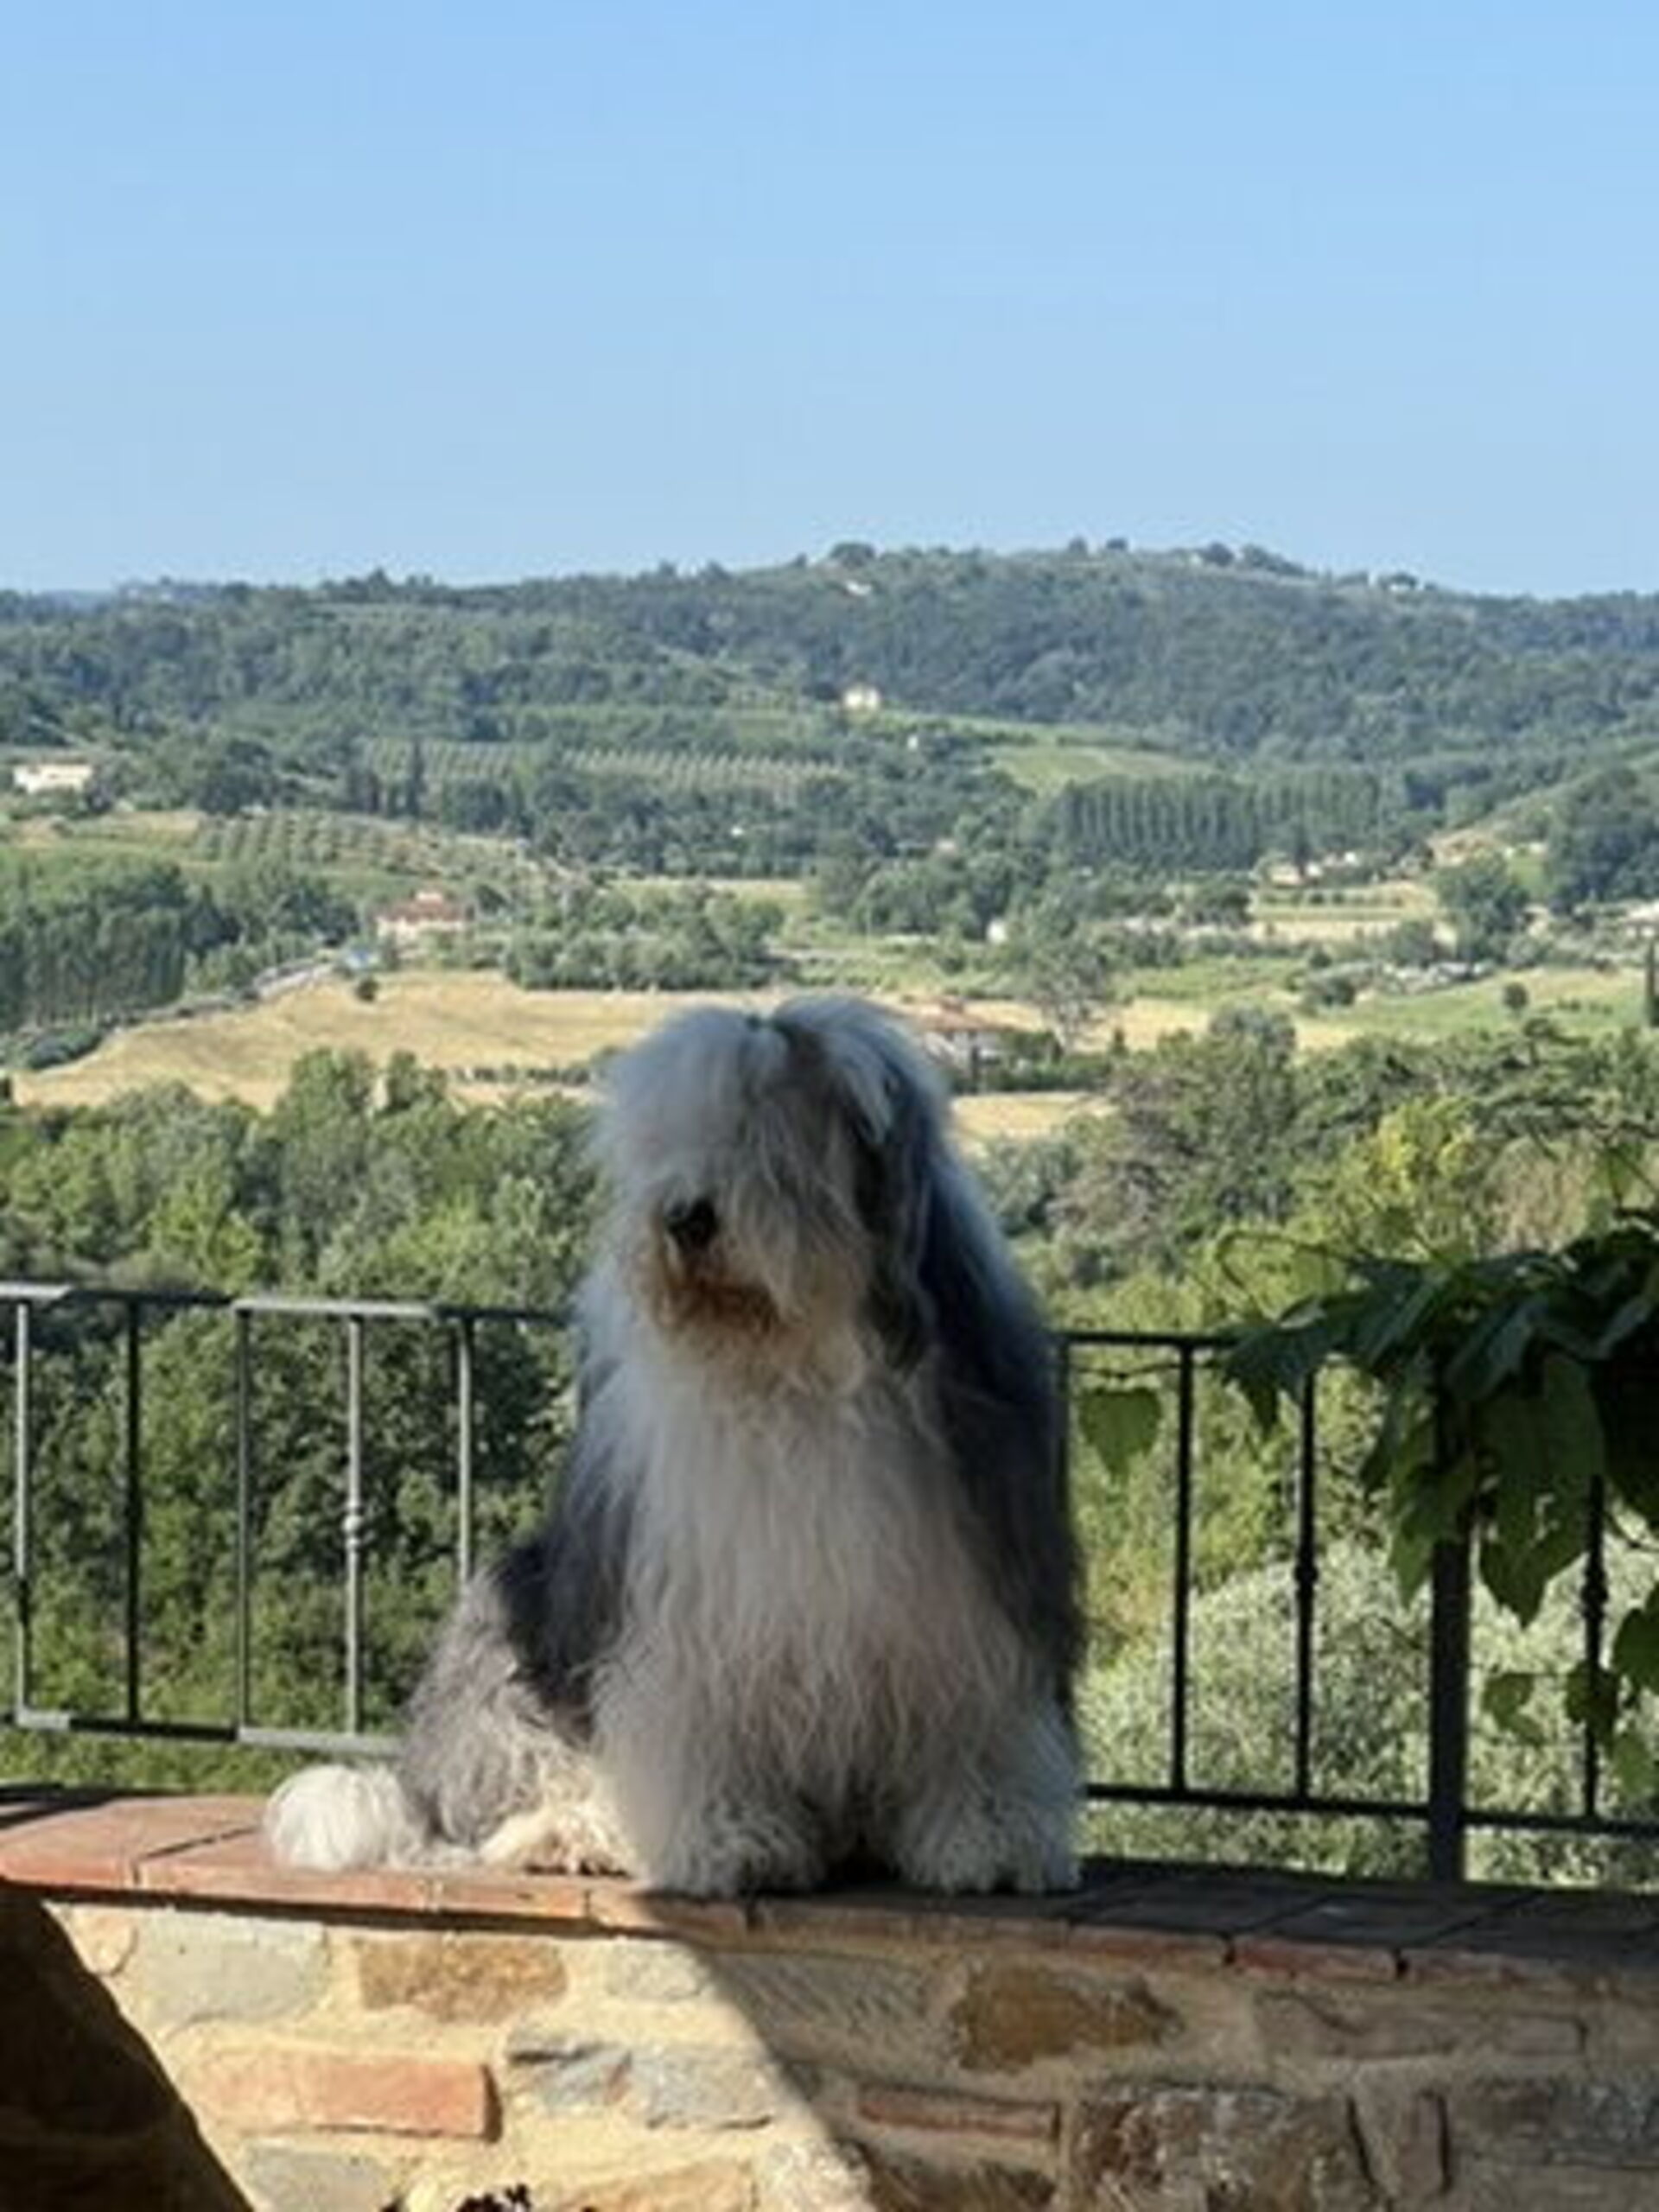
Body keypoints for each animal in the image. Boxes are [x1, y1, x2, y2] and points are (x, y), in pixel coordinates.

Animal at [265, 995, 1080, 1896]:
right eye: (672, 1138)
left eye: (771, 1137)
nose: (686, 1217)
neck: (791, 1371)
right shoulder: (687, 1617)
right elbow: (697, 1731)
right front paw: (733, 1845)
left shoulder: (971, 1601)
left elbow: (980, 1729)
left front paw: (992, 1840)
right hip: (518, 1624)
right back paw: (576, 1833)